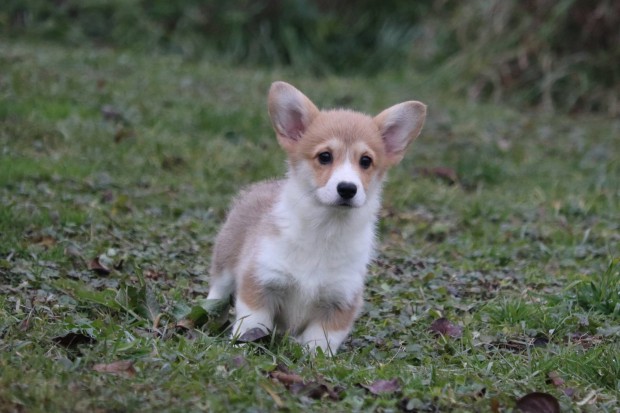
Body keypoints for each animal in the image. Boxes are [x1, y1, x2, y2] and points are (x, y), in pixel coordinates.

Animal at [208, 81, 426, 354]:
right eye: (325, 156)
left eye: (366, 161)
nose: (347, 189)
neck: (326, 228)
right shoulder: (260, 281)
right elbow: (253, 324)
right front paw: (243, 347)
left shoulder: (340, 302)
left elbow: (319, 342)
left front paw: (312, 357)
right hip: (225, 261)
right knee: (217, 288)